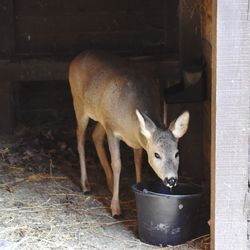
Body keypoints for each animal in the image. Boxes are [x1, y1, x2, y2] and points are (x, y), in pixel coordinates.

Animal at [68, 51, 189, 219]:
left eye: (177, 153)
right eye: (157, 154)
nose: (171, 179)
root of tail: (78, 57)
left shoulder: (136, 139)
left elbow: (138, 162)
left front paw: (137, 188)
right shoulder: (112, 130)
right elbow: (117, 164)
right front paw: (115, 208)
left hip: (101, 117)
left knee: (95, 136)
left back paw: (110, 183)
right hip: (79, 104)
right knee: (80, 138)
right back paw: (85, 185)